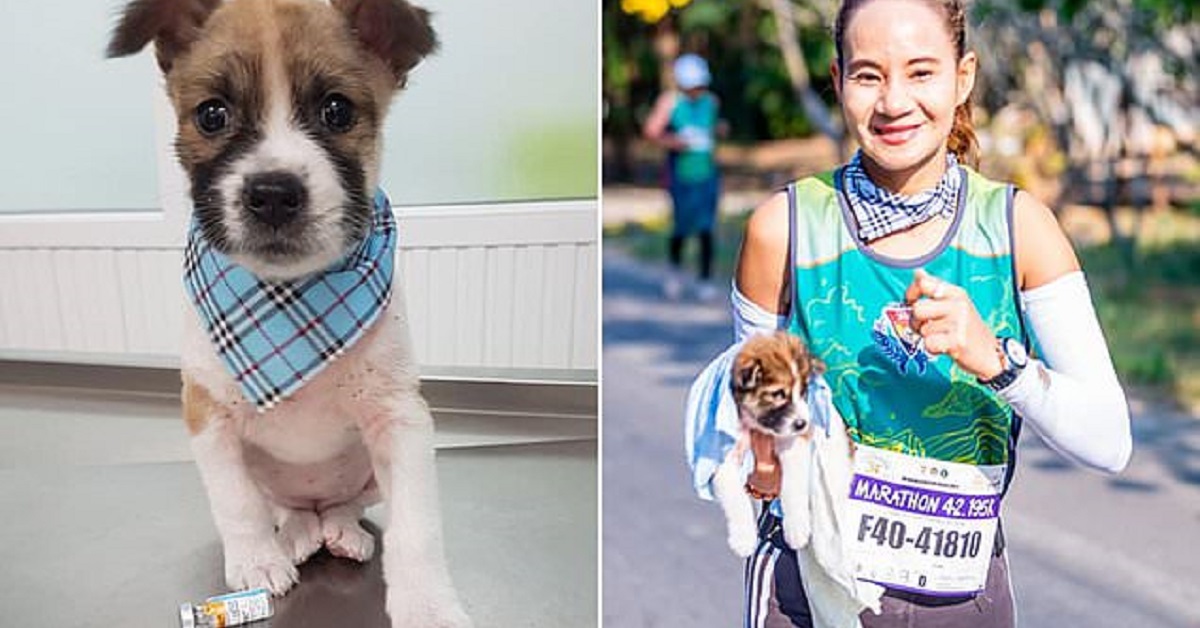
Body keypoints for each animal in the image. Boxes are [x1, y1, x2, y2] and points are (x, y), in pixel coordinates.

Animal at [108, 2, 470, 624]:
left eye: (336, 110)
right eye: (212, 115)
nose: (273, 193)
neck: (288, 297)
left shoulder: (400, 421)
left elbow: (418, 529)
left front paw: (426, 604)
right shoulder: (208, 416)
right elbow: (236, 505)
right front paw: (255, 561)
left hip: (368, 476)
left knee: (343, 505)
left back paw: (340, 528)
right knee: (286, 507)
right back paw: (298, 532)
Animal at [710, 331, 825, 557]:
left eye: (803, 392)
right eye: (778, 394)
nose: (802, 424)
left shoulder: (793, 442)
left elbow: (793, 484)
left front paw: (797, 528)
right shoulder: (722, 455)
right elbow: (735, 496)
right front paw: (743, 538)